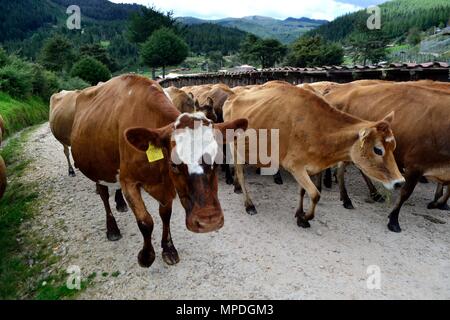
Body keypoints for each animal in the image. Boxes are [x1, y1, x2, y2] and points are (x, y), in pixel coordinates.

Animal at [71, 75, 248, 268]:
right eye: (174, 164)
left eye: (216, 161)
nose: (209, 221)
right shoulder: (128, 181)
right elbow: (145, 221)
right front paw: (146, 256)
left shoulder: (167, 185)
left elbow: (165, 215)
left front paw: (169, 248)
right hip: (97, 170)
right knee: (103, 195)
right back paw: (112, 229)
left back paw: (120, 203)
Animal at [225, 82, 404, 228]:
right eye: (378, 149)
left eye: (394, 146)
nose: (400, 182)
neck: (319, 131)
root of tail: (233, 96)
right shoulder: (294, 165)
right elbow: (315, 194)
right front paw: (305, 218)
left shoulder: (307, 167)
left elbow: (303, 192)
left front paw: (299, 214)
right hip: (234, 148)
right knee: (240, 173)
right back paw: (248, 204)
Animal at [322, 82, 450, 232]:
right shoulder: (415, 165)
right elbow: (405, 192)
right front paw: (393, 220)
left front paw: (438, 203)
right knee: (341, 169)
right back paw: (346, 197)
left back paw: (371, 194)